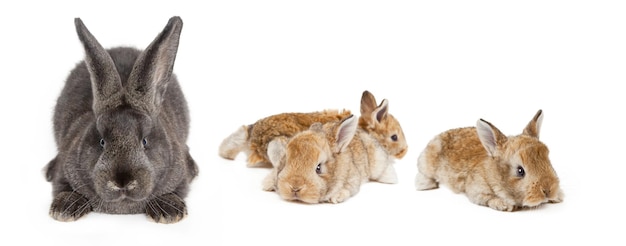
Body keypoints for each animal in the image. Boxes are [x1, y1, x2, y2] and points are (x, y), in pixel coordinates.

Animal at [44, 16, 197, 224]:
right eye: (101, 142)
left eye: (144, 141)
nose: (122, 183)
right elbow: (62, 188)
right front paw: (64, 209)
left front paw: (169, 212)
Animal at [414, 109, 560, 211]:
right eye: (520, 171)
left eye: (549, 161)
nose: (548, 190)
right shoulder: (476, 191)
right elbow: (488, 198)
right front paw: (504, 205)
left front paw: (559, 197)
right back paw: (425, 185)